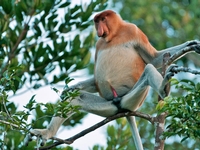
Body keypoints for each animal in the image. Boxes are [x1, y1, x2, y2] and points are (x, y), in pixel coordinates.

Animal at [25, 9, 200, 149]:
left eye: (103, 19)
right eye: (96, 21)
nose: (98, 28)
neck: (114, 35)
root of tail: (120, 105)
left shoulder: (134, 31)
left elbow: (154, 59)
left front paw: (191, 45)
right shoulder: (99, 44)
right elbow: (91, 82)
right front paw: (72, 87)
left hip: (132, 98)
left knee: (149, 69)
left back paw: (164, 88)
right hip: (108, 106)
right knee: (74, 99)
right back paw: (46, 133)